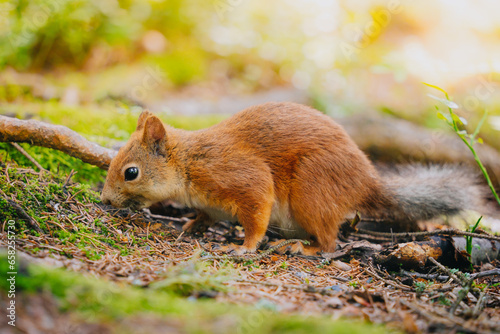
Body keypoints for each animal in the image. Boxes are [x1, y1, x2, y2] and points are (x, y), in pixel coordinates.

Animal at [99, 101, 490, 253]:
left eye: (131, 172)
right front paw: (189, 227)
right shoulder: (210, 205)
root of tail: (367, 182)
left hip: (311, 192)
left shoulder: (242, 178)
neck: (189, 163)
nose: (104, 200)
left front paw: (245, 247)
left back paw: (305, 248)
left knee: (331, 242)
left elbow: (256, 212)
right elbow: (204, 216)